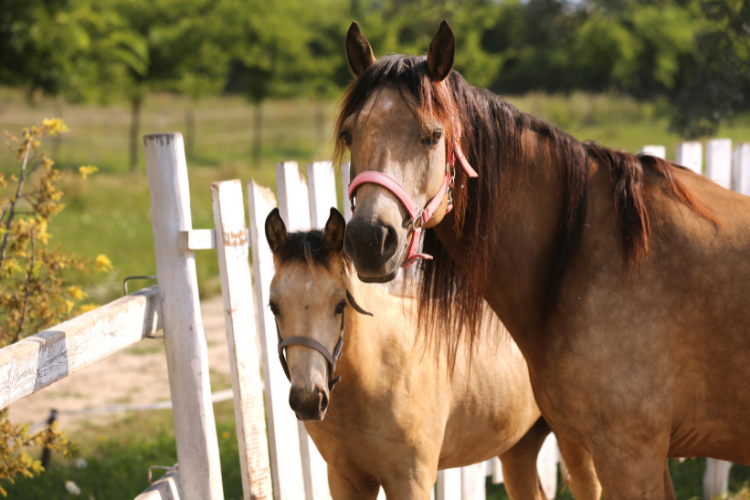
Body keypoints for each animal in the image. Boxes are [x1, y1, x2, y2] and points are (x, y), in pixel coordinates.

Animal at [264, 207, 604, 500]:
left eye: (339, 304)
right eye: (274, 306)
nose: (309, 399)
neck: (376, 372)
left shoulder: (411, 482)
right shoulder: (345, 481)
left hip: (577, 449)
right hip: (519, 447)